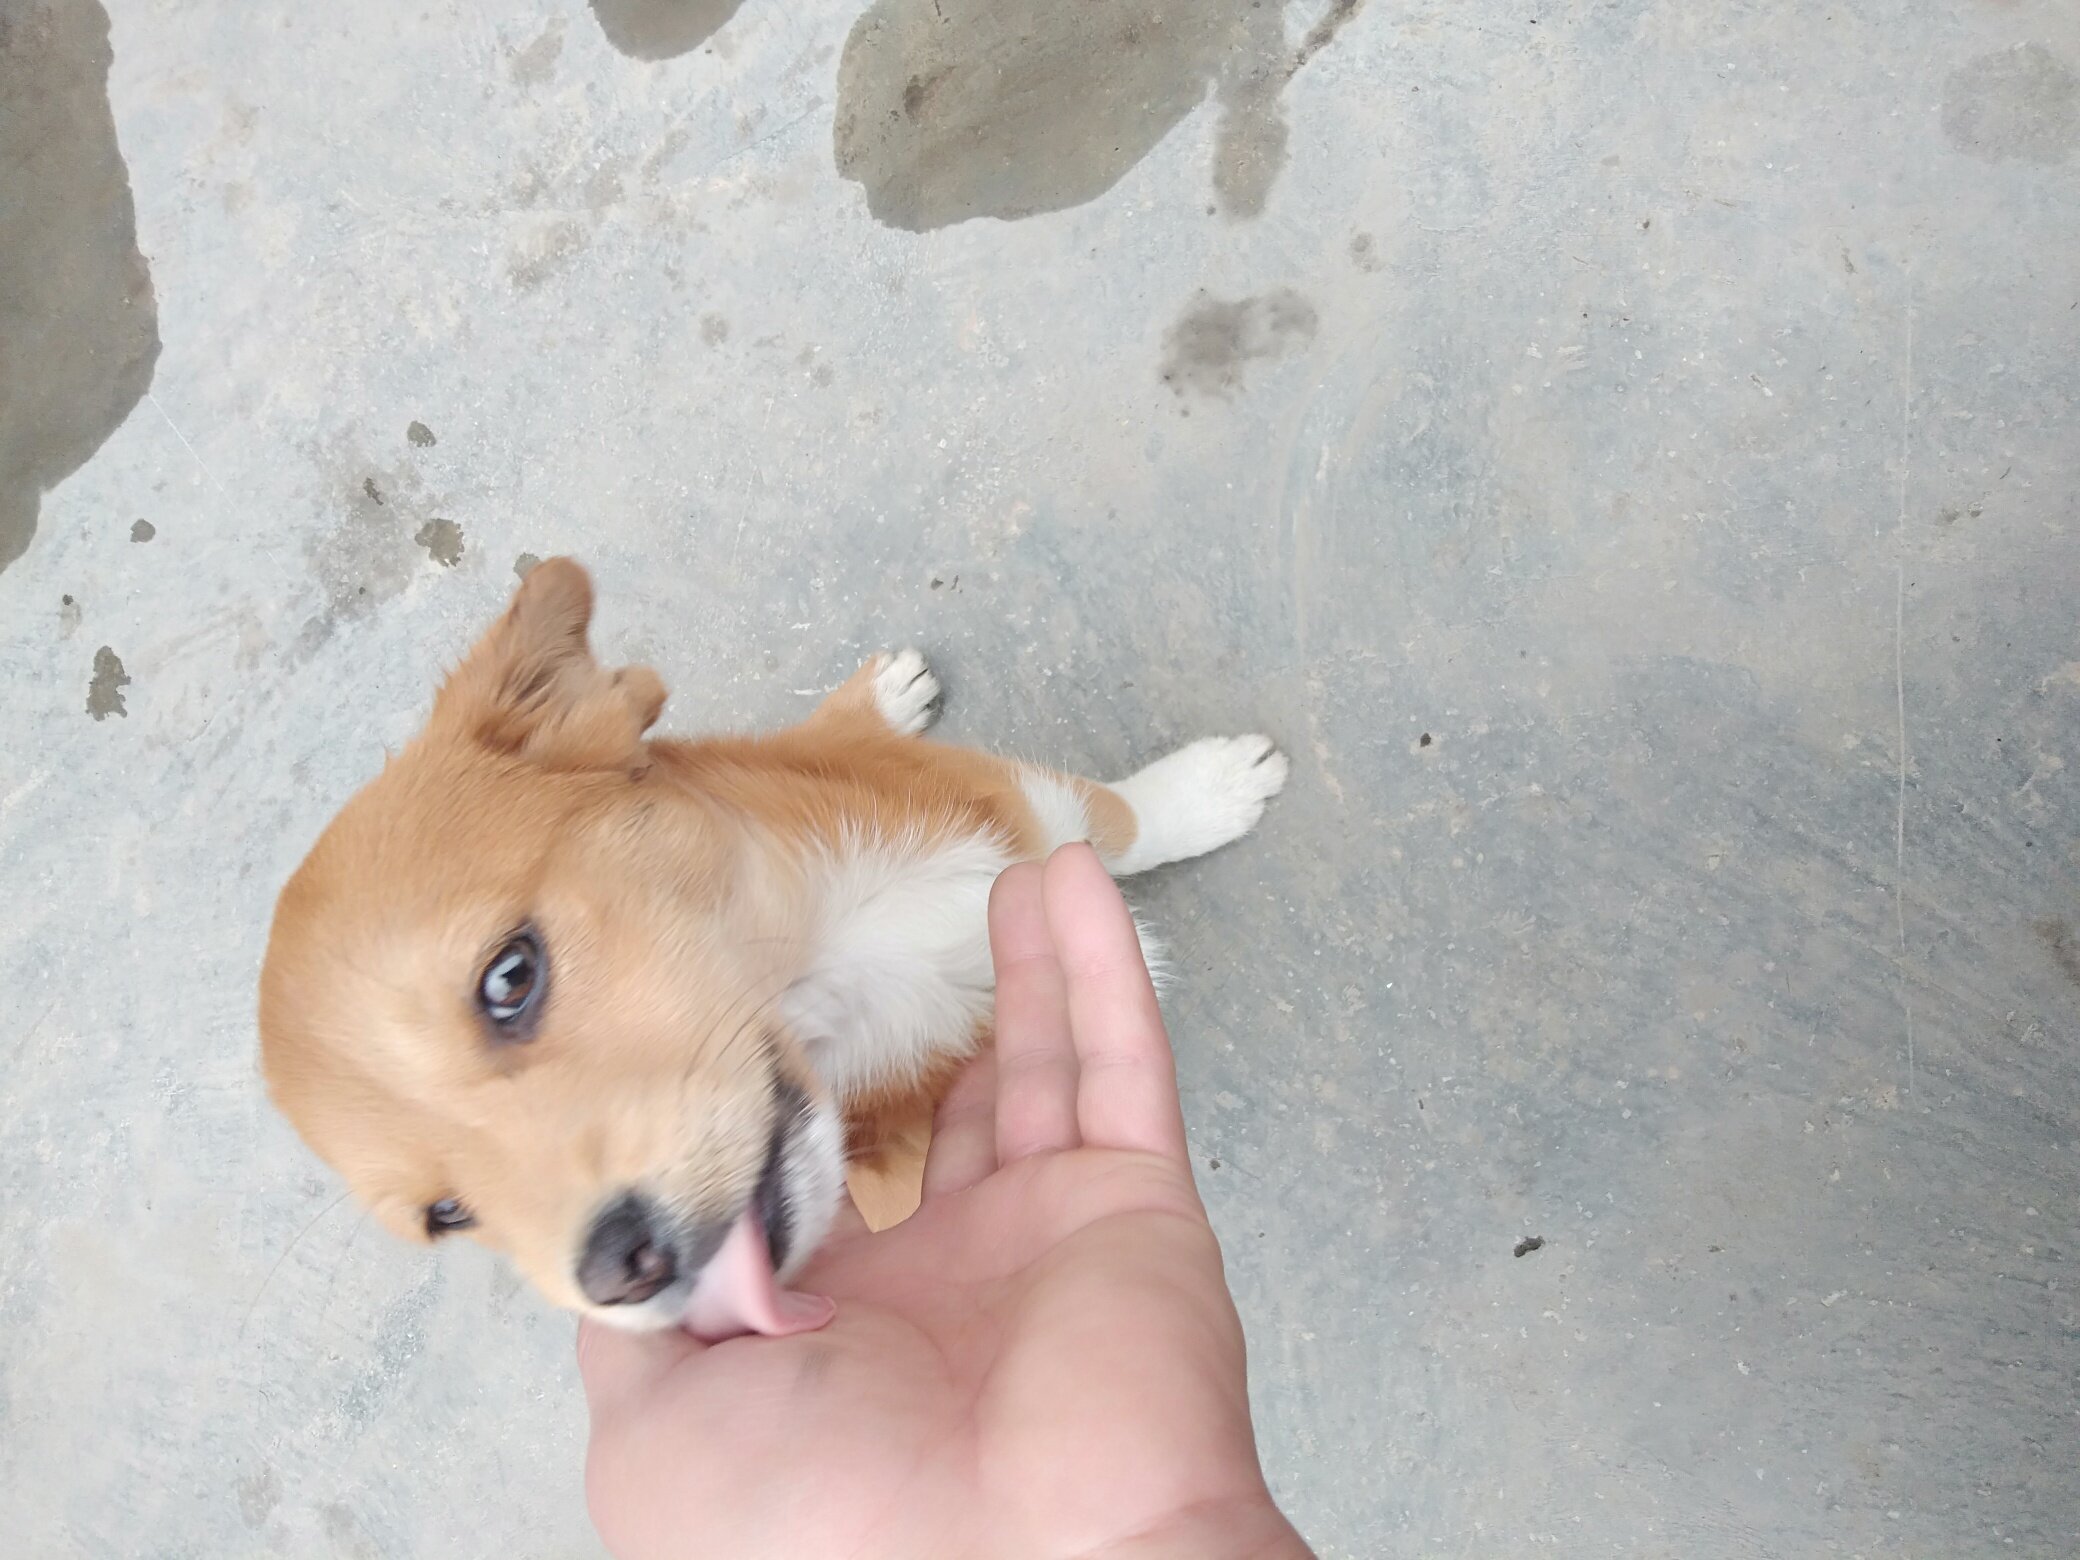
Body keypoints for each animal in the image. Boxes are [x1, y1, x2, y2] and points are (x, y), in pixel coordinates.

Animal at [259, 558, 1285, 1339]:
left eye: (510, 977)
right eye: (448, 1216)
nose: (616, 1273)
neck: (852, 956)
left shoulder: (1019, 805)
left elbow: (1119, 821)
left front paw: (1210, 791)